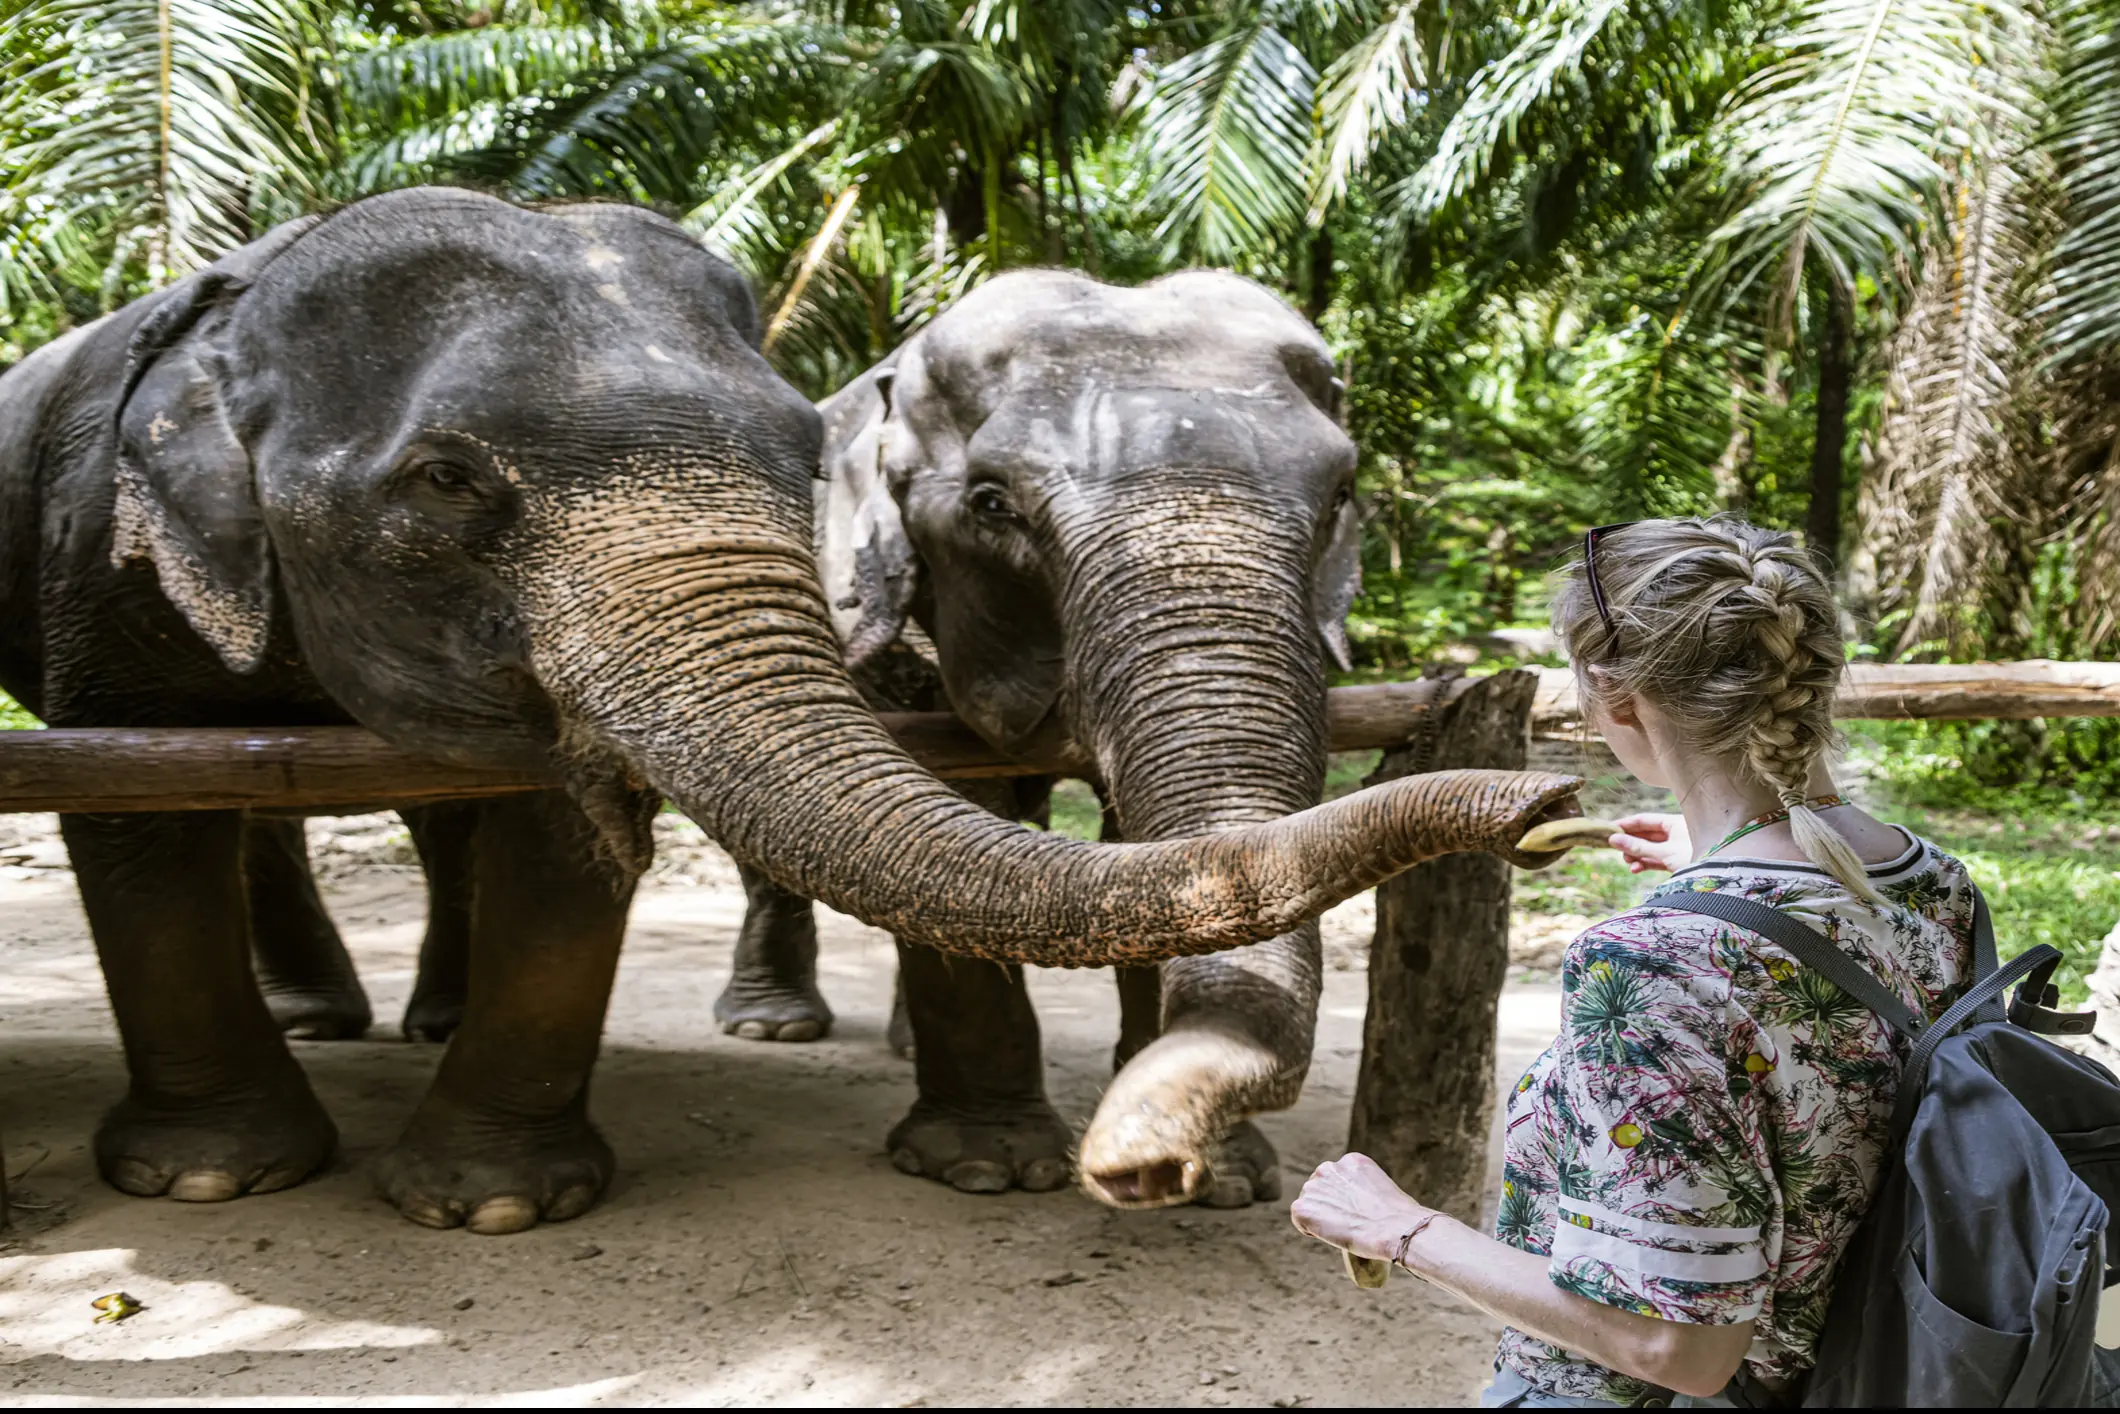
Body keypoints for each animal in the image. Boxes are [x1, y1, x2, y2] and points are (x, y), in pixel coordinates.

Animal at [0, 189, 1580, 1233]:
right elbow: (143, 810)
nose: (1556, 805)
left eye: (1340, 495)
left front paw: (1227, 1183)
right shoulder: (98, 562)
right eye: (992, 506)